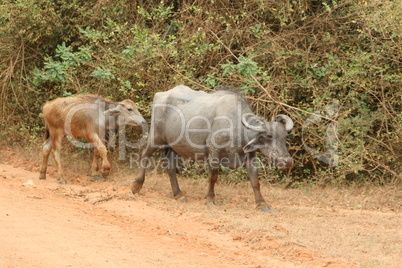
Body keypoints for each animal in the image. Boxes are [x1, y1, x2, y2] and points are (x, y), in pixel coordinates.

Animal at [133, 85, 294, 210]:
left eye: (285, 136)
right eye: (269, 136)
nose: (288, 161)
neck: (235, 126)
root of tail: (161, 95)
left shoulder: (250, 155)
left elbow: (255, 180)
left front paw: (262, 203)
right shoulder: (213, 151)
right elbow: (213, 176)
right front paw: (210, 199)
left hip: (173, 145)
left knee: (171, 168)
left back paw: (179, 194)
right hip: (156, 137)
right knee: (144, 155)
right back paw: (136, 185)